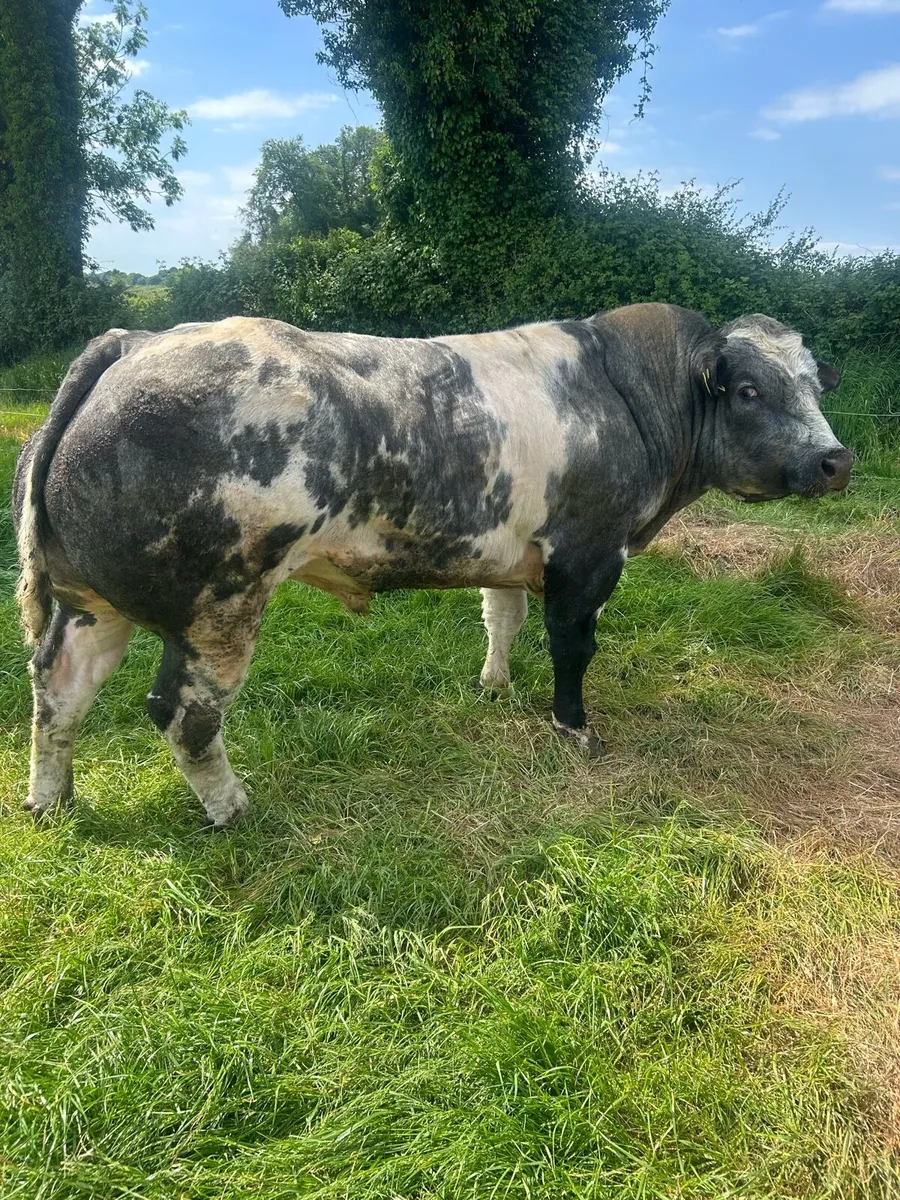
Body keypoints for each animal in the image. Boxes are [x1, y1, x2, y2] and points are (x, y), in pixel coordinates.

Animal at [13, 303, 851, 828]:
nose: (835, 460)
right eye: (749, 390)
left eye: (813, 385)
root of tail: (136, 340)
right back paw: (233, 807)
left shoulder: (511, 552)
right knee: (182, 712)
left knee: (58, 689)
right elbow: (573, 648)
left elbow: (501, 617)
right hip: (218, 603)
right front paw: (573, 727)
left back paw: (52, 801)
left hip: (92, 600)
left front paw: (494, 684)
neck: (631, 396)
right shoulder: (588, 555)